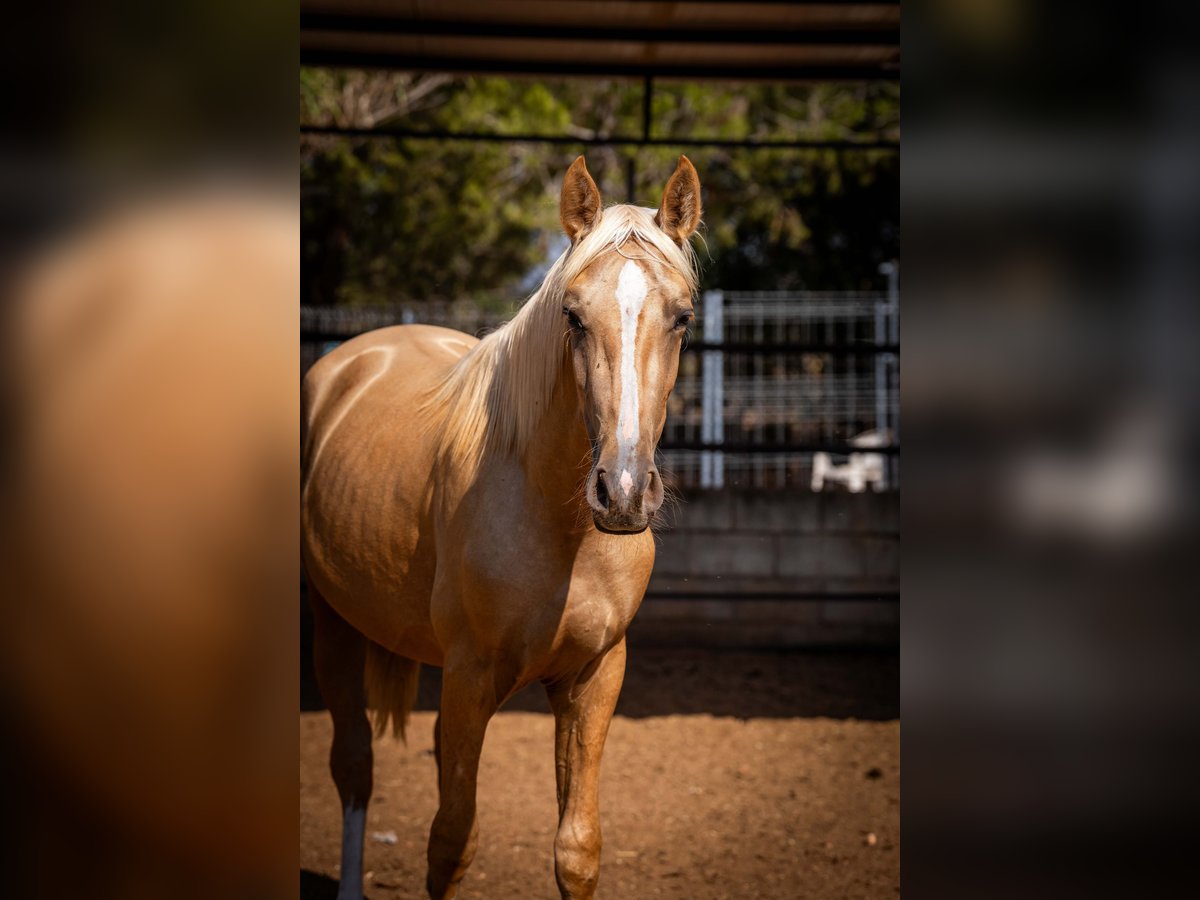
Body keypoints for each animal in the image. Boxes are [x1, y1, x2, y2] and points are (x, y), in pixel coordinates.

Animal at [302, 158, 700, 897]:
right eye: (573, 316)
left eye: (682, 318)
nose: (624, 493)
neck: (563, 528)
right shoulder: (469, 679)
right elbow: (452, 844)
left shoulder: (595, 677)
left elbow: (576, 848)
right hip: (333, 625)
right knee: (354, 768)